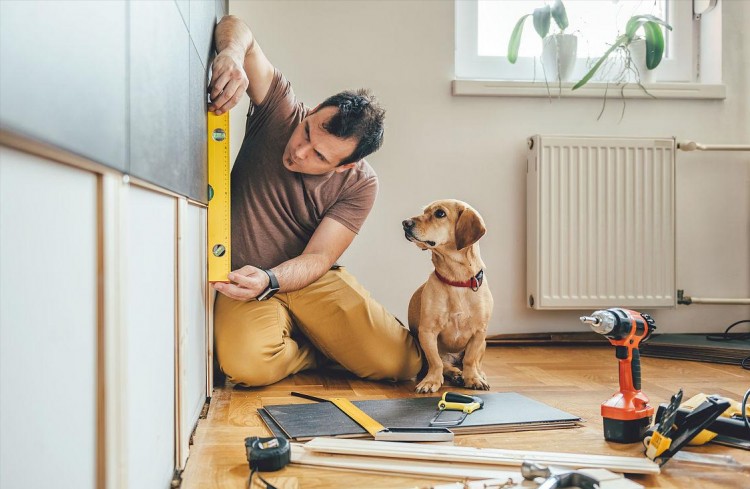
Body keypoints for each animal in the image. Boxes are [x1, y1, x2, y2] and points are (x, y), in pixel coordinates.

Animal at [406, 198, 494, 392]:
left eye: (440, 213)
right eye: (424, 211)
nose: (405, 223)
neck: (457, 281)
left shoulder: (479, 333)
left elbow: (470, 359)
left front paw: (473, 379)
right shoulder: (428, 332)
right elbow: (436, 362)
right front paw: (431, 381)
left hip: (484, 343)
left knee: (475, 362)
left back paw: (476, 374)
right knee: (446, 365)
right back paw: (455, 374)